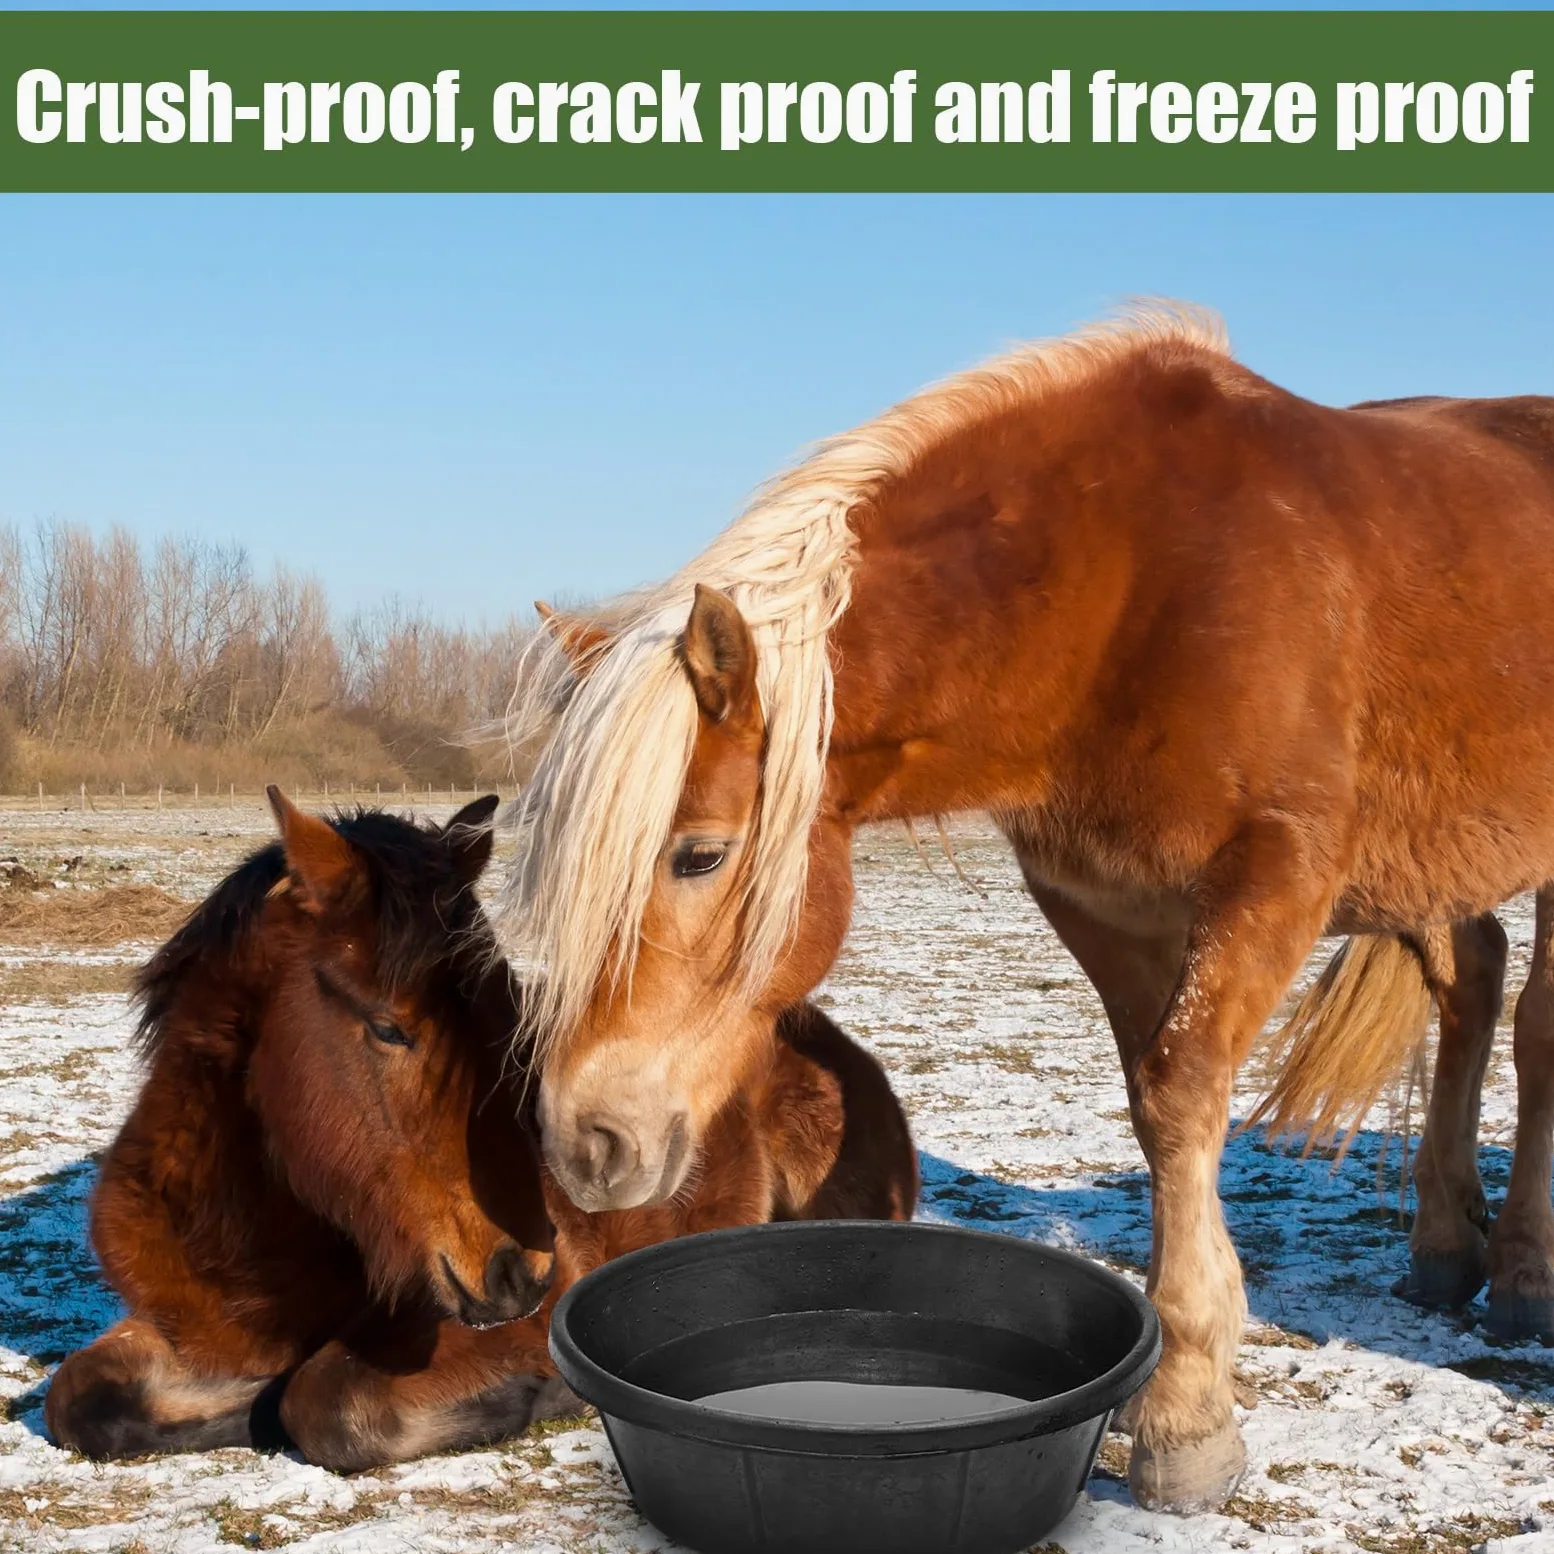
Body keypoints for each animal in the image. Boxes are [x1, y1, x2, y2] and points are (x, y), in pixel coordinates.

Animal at [46, 789, 917, 1470]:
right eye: (389, 1029)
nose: (521, 1271)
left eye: (509, 1018)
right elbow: (76, 1398)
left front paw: (540, 1394)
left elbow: (323, 1402)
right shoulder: (183, 1327)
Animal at [493, 303, 1554, 1516]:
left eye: (700, 857)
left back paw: (1521, 1274)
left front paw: (1185, 1420)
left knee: (1536, 1027)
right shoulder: (1106, 906)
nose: (583, 1141)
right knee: (1471, 980)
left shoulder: (1273, 875)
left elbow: (1184, 1094)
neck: (1135, 578)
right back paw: (1443, 1250)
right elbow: (1156, 1107)